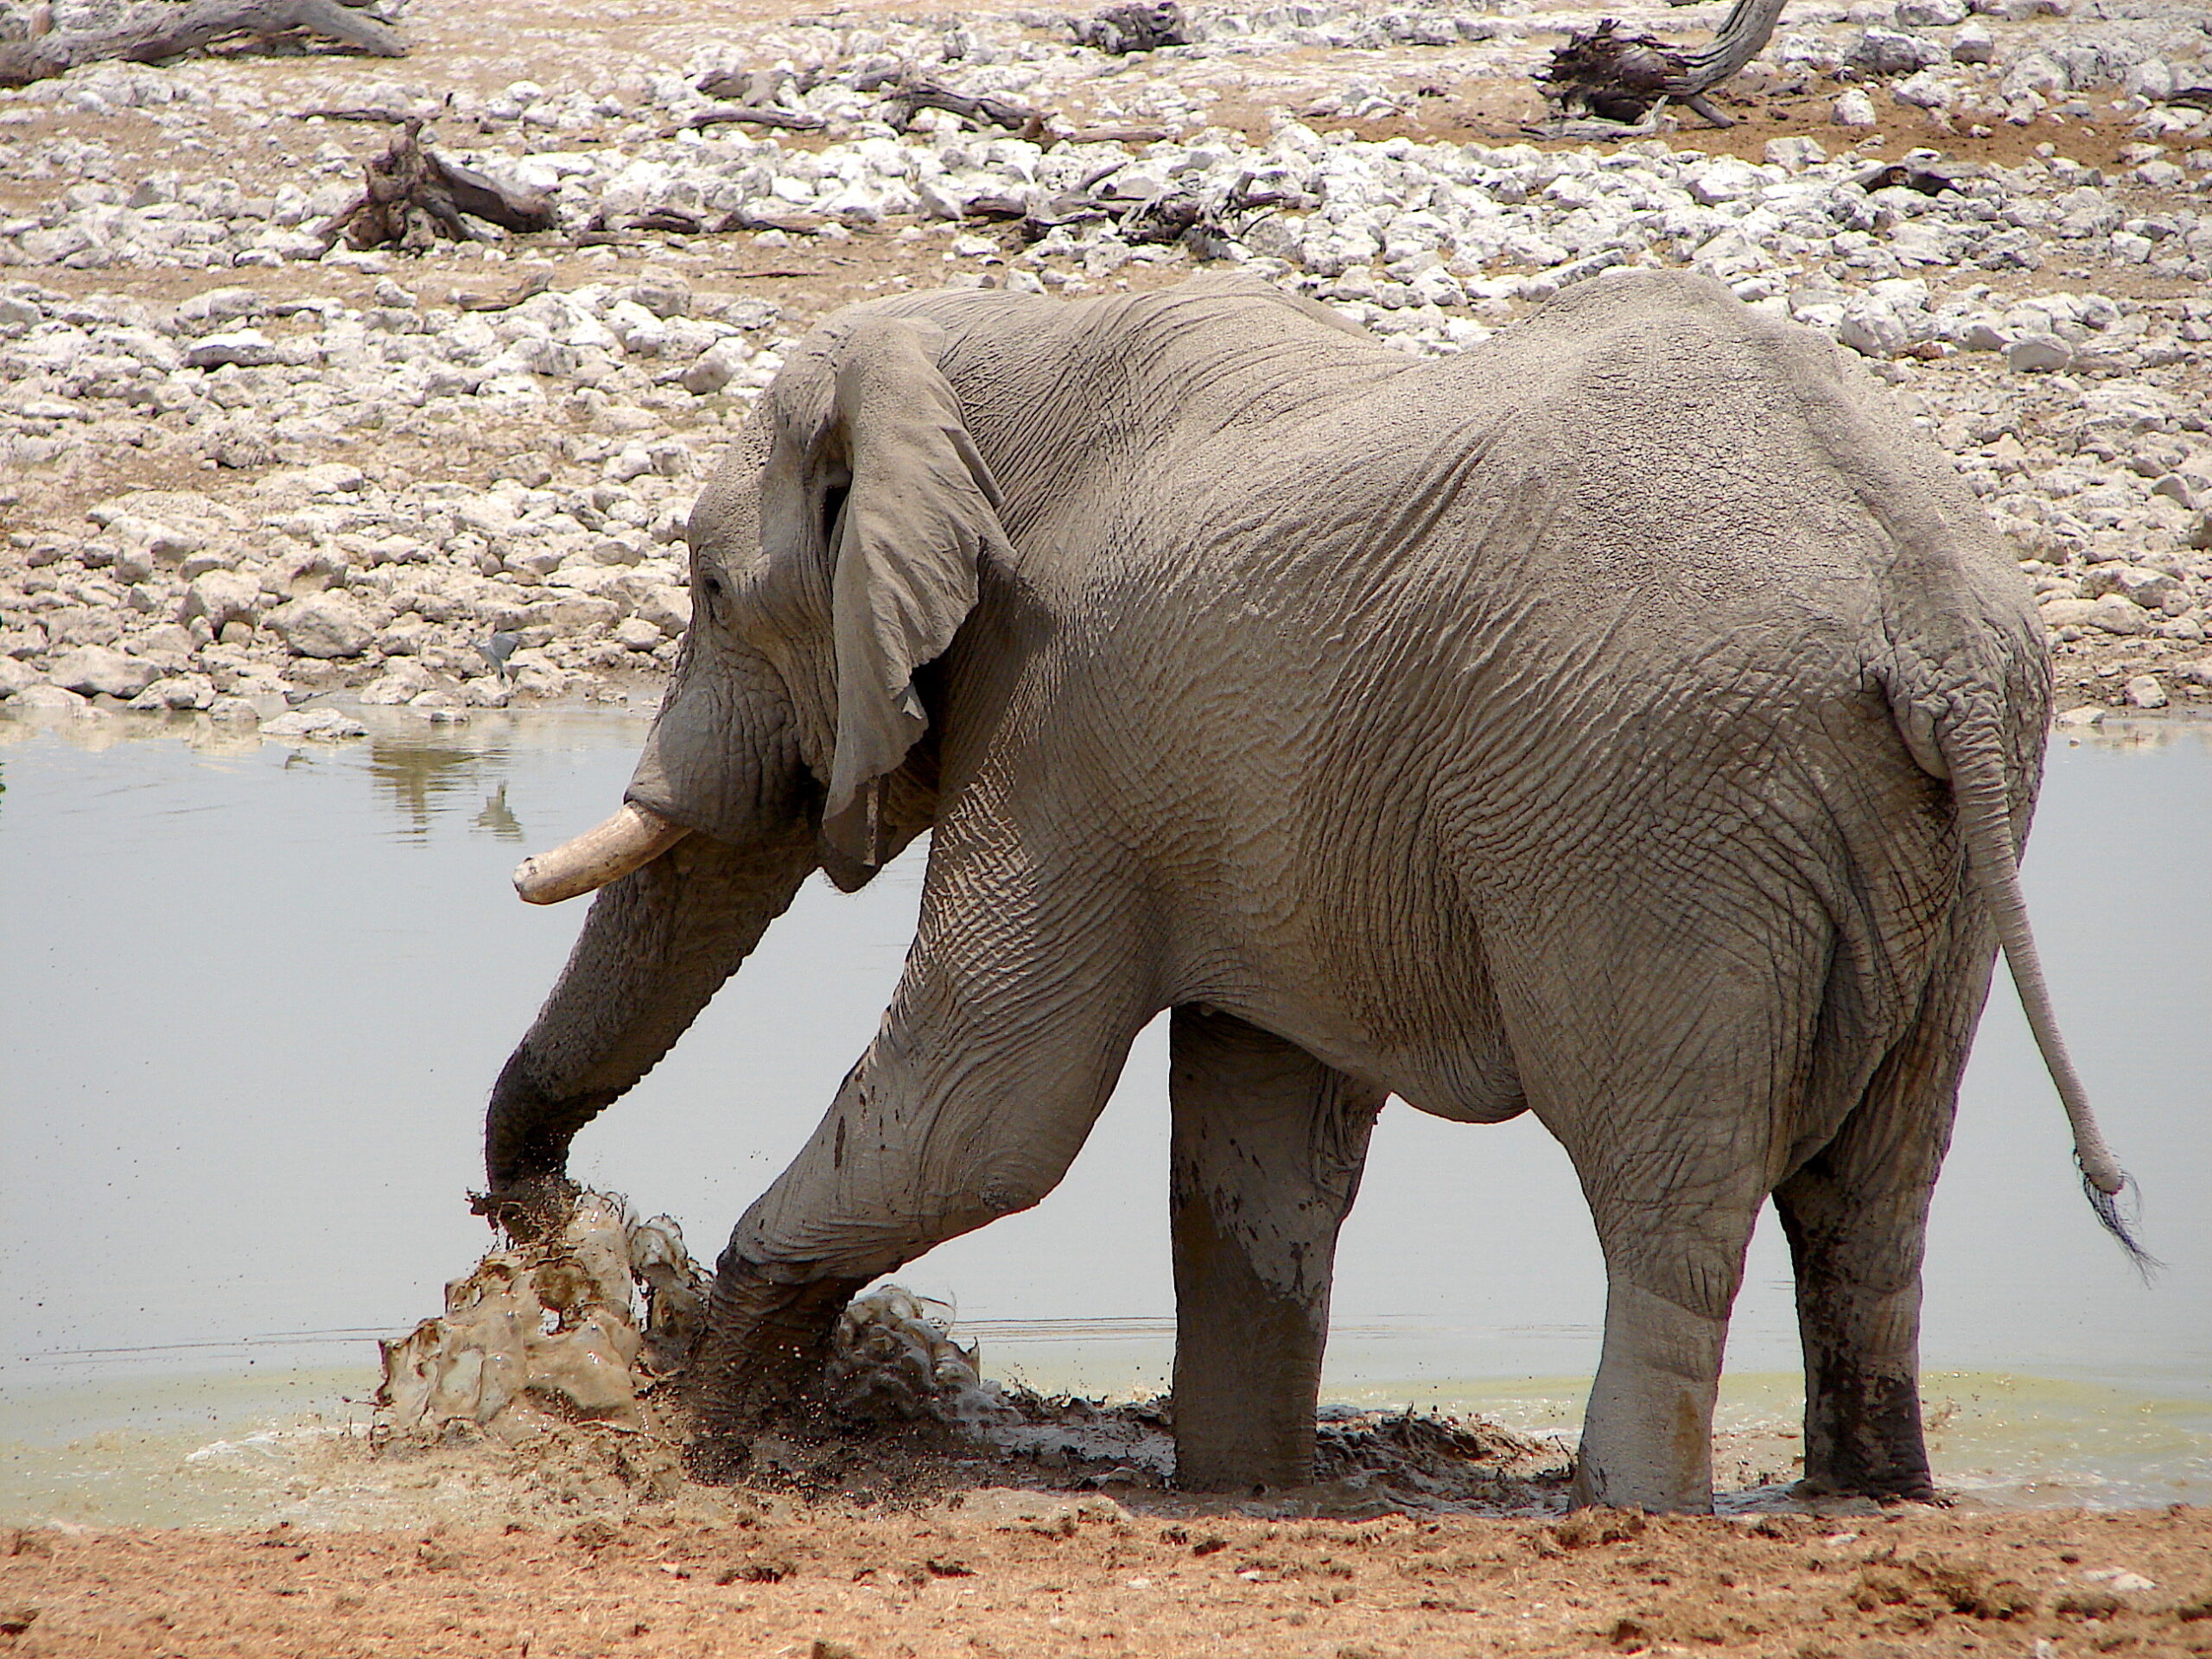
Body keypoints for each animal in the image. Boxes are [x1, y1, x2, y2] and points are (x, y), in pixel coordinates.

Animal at [482, 269, 2139, 1513]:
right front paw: (1244, 1491)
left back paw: (1631, 1508)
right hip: (1947, 830)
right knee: (1875, 1195)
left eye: (708, 592)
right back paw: (1868, 1496)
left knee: (1671, 1195)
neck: (974, 342)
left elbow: (983, 1108)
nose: (544, 1228)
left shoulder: (1067, 715)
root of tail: (1930, 610)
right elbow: (1257, 1145)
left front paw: (697, 1428)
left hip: (1667, 819)